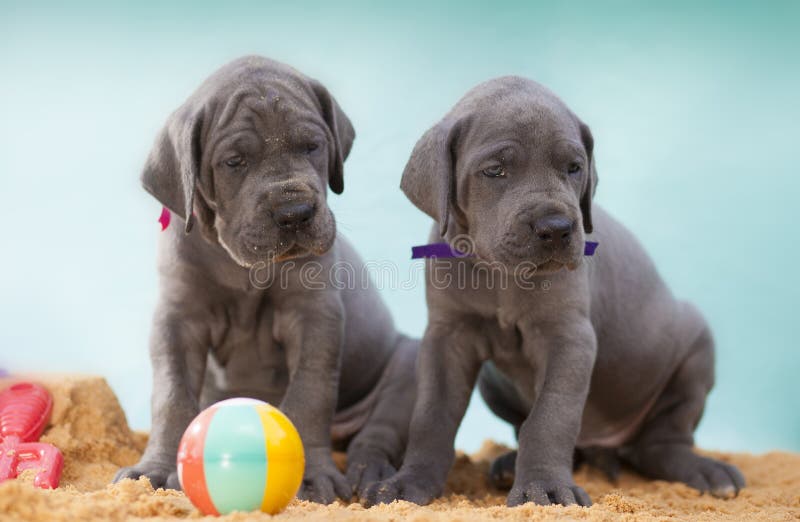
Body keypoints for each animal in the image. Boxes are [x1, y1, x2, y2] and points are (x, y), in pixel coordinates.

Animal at [117, 55, 418, 500]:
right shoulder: (177, 318)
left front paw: (311, 475)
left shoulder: (314, 316)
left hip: (405, 366)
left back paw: (371, 474)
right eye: (234, 162)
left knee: (378, 432)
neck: (244, 271)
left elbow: (310, 394)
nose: (295, 213)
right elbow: (171, 395)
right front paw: (154, 468)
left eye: (312, 146)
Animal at [362, 75, 744, 506]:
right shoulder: (447, 336)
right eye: (495, 170)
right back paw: (508, 463)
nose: (557, 228)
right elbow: (432, 415)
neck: (502, 275)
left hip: (695, 351)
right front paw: (408, 483)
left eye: (574, 168)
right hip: (493, 383)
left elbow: (550, 417)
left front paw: (543, 488)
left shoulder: (568, 337)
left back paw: (706, 470)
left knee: (663, 440)